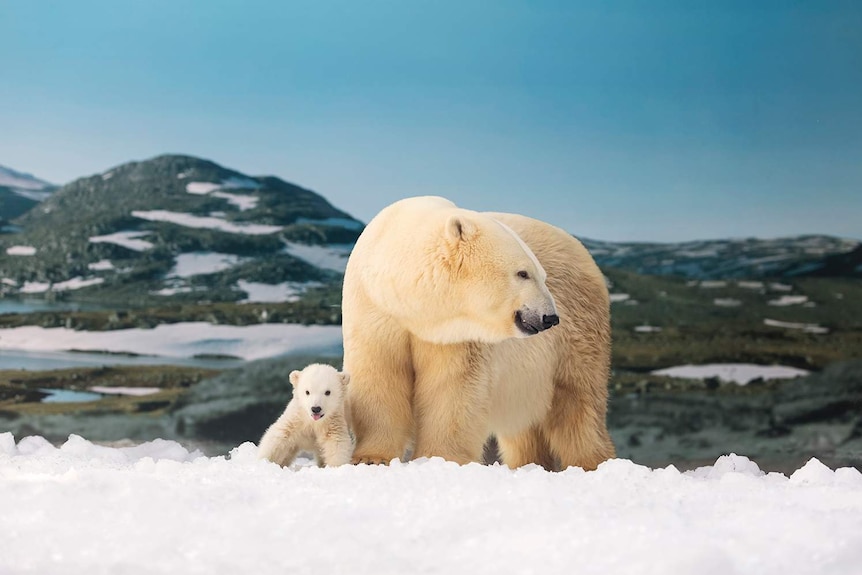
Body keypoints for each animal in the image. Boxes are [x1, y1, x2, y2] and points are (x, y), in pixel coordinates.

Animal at [340, 196, 616, 470]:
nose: (550, 317)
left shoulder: (457, 333)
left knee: (578, 403)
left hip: (577, 331)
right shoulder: (374, 309)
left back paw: (592, 463)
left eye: (542, 275)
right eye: (523, 273)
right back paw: (528, 463)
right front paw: (371, 457)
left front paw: (440, 459)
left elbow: (453, 387)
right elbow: (378, 374)